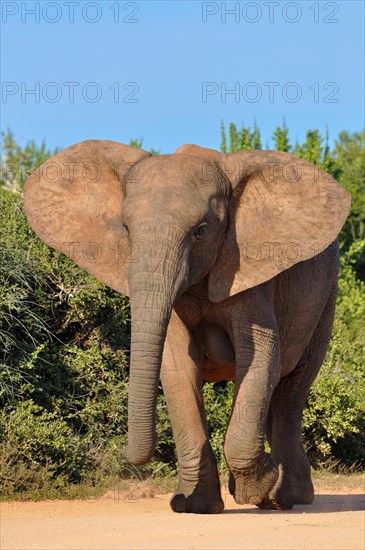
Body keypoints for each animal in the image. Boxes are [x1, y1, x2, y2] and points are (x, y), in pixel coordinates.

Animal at [23, 141, 350, 512]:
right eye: (125, 229)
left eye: (201, 231)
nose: (127, 457)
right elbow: (178, 366)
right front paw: (194, 506)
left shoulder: (249, 271)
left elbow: (260, 356)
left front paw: (256, 489)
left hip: (327, 298)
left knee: (291, 391)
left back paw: (284, 498)